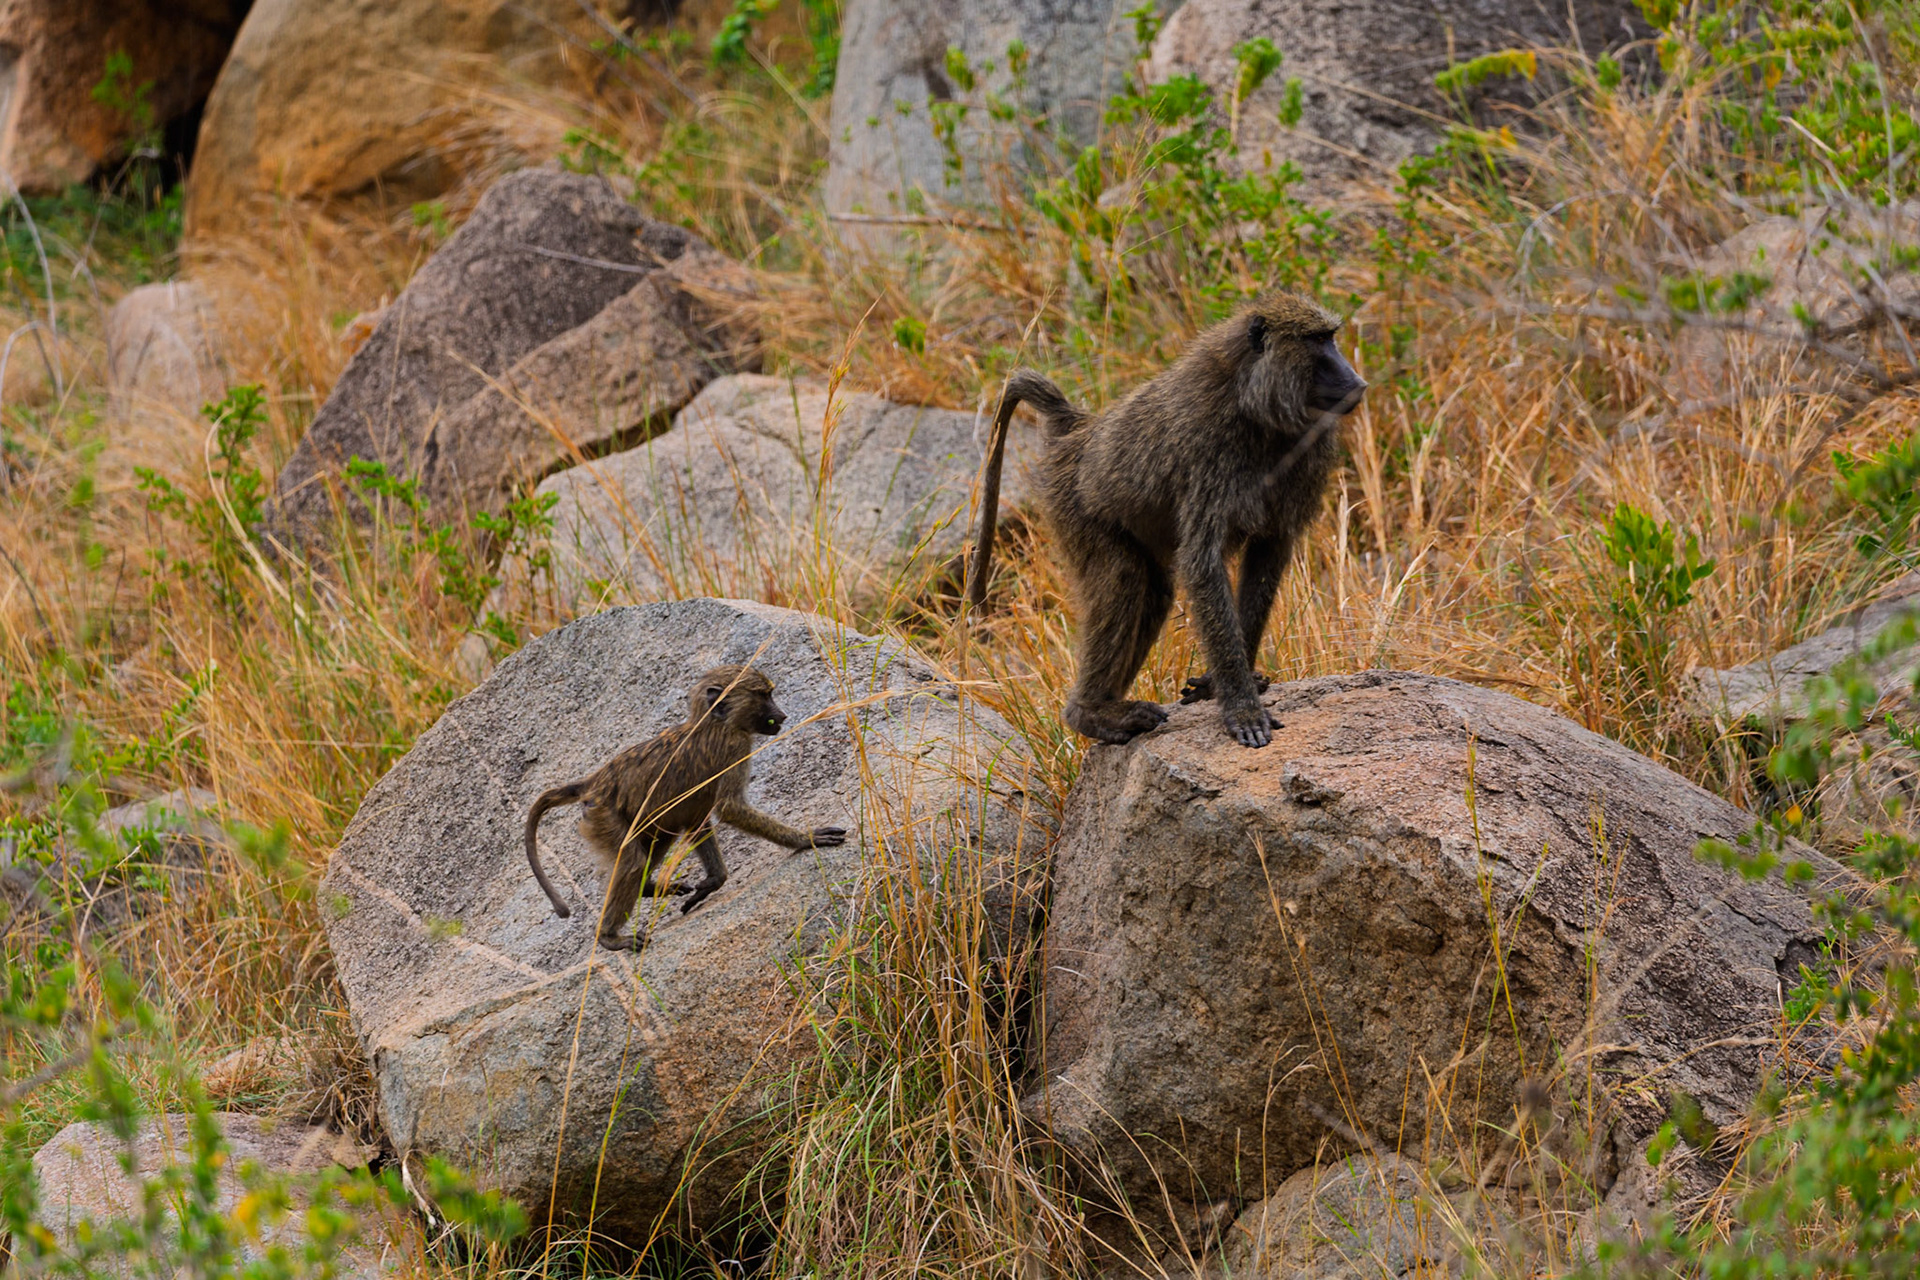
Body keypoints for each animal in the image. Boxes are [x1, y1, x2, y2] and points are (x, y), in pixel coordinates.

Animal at [523, 664, 847, 950]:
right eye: (764, 695)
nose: (782, 715)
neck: (711, 722)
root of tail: (596, 781)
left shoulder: (697, 803)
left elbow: (697, 819)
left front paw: (714, 881)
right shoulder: (735, 746)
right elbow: (730, 808)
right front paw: (806, 839)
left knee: (655, 840)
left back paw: (647, 888)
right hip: (604, 815)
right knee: (632, 862)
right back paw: (609, 937)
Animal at [966, 291, 1367, 749]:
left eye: (1329, 338)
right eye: (1318, 341)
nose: (1356, 382)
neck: (1255, 404)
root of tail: (1079, 430)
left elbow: (1267, 554)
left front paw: (1224, 683)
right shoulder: (1208, 447)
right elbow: (1202, 563)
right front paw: (1242, 706)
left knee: (1153, 590)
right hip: (1076, 507)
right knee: (1123, 579)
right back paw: (1091, 713)